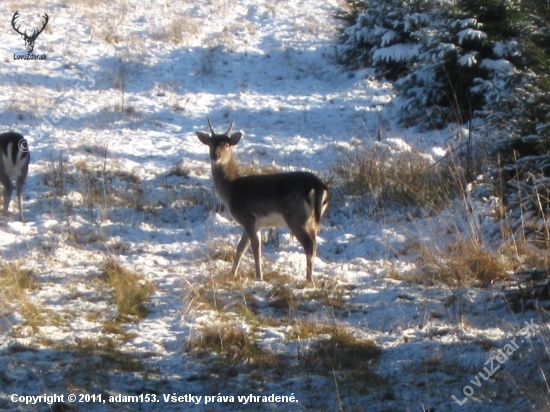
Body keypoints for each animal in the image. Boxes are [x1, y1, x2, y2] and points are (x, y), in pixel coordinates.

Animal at [197, 118, 330, 284]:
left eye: (226, 144)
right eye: (210, 143)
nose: (215, 155)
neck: (232, 190)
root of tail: (318, 186)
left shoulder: (248, 217)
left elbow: (255, 248)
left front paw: (259, 277)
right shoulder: (255, 223)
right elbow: (241, 247)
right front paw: (232, 273)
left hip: (296, 217)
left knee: (309, 245)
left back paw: (309, 280)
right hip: (312, 220)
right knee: (315, 244)